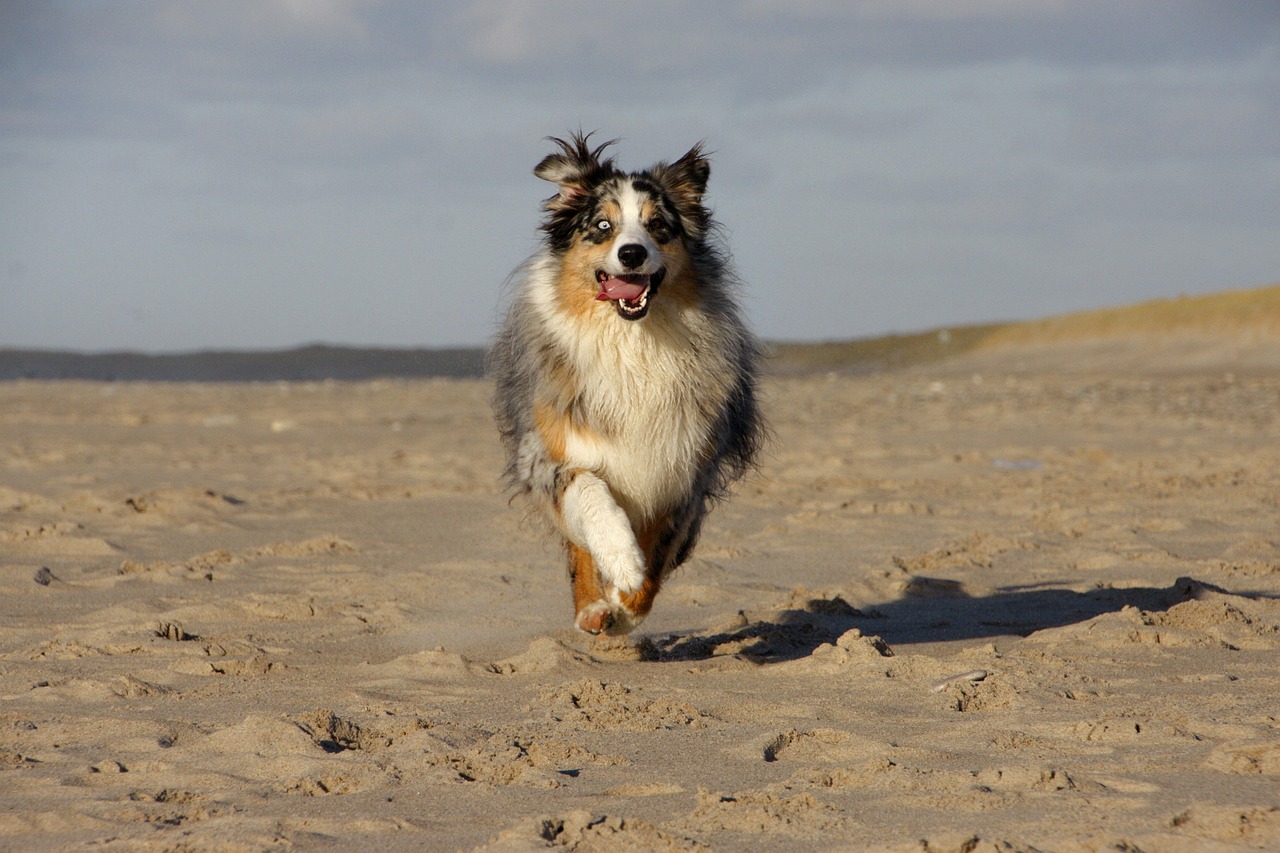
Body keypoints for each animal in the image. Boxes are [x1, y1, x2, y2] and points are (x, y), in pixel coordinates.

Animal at [488, 133, 762, 635]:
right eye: (602, 225)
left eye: (657, 226)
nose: (631, 253)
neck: (631, 343)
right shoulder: (551, 452)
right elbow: (590, 497)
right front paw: (620, 562)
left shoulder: (682, 473)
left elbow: (658, 558)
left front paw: (628, 603)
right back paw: (592, 608)